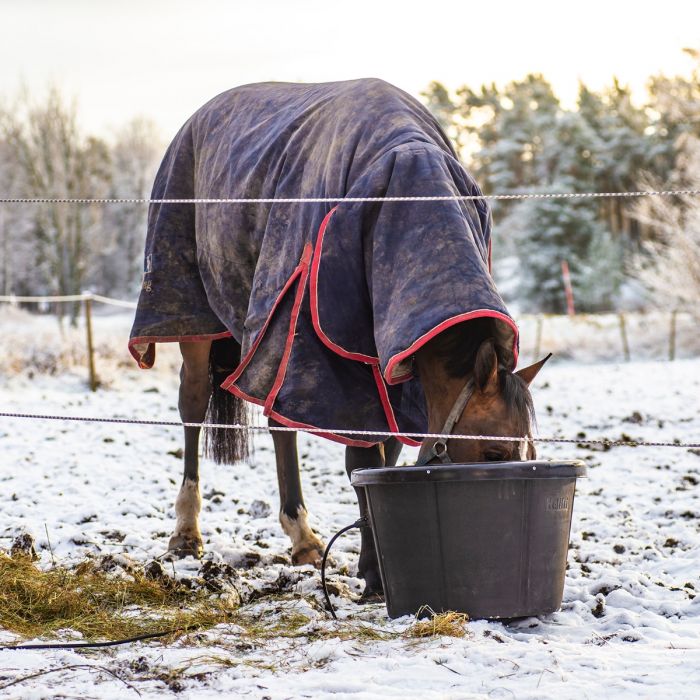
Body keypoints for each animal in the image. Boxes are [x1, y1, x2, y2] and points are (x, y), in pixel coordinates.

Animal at [130, 80, 548, 596]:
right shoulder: (342, 358)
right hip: (205, 323)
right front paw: (374, 574)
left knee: (276, 423)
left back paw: (301, 539)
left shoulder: (394, 362)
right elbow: (361, 459)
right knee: (195, 408)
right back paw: (190, 533)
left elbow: (381, 456)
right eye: (493, 452)